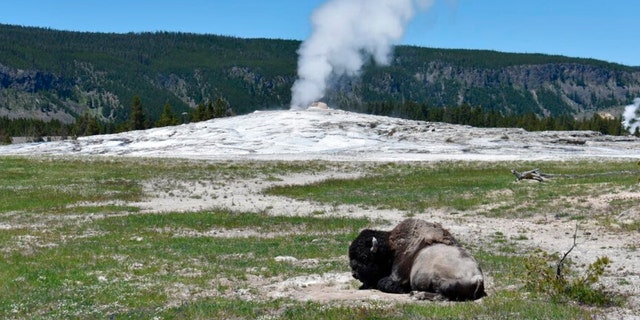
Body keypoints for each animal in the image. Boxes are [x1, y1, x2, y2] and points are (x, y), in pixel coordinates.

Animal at [350, 218, 484, 300]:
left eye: (364, 257)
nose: (354, 274)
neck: (391, 249)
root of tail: (478, 278)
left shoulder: (397, 276)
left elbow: (384, 283)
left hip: (440, 280)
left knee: (442, 296)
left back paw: (416, 294)